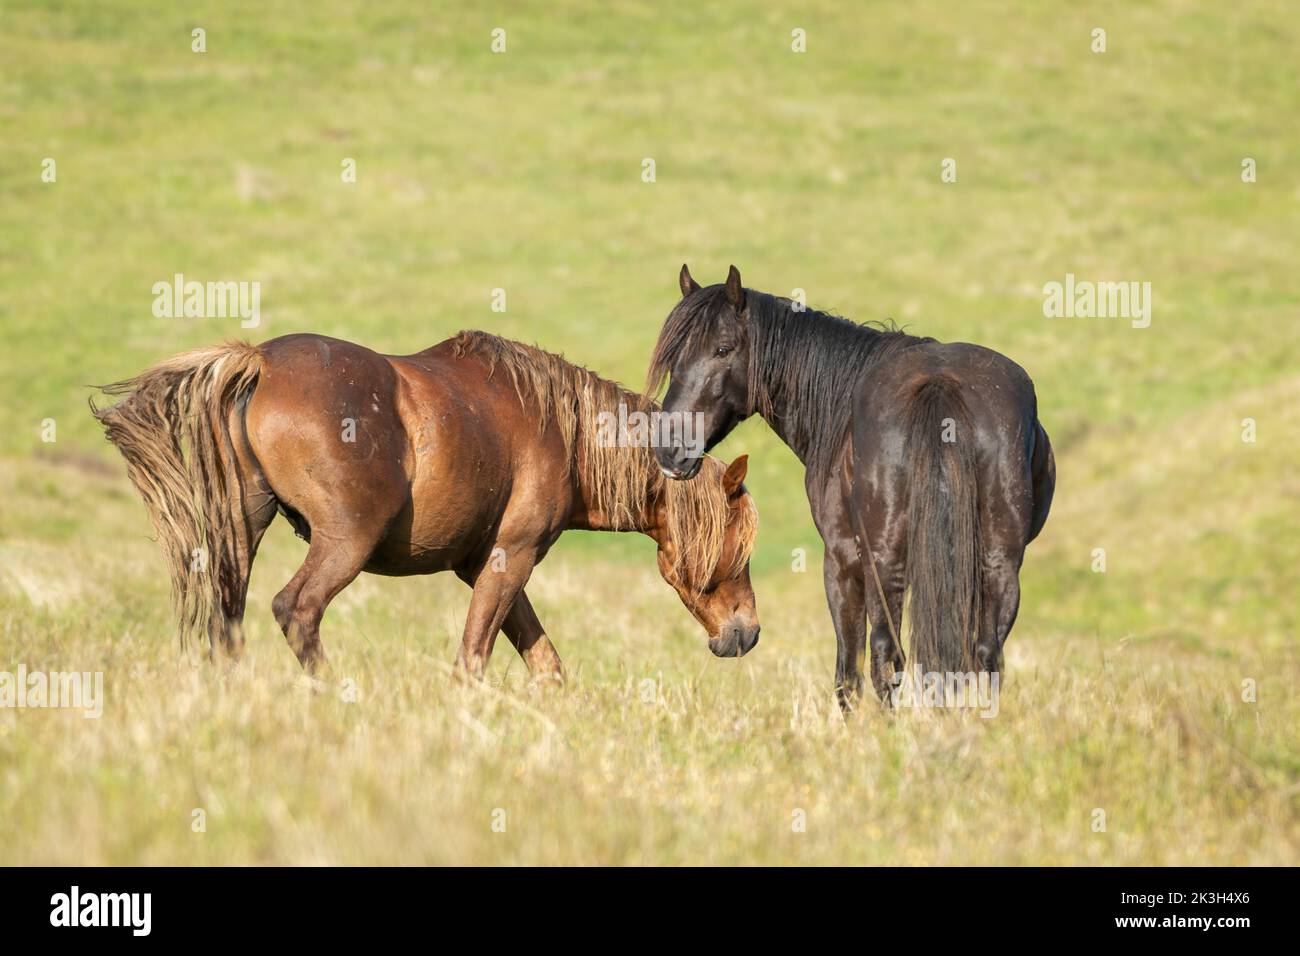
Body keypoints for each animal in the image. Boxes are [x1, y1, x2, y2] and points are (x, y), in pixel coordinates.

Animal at [91, 332, 759, 686]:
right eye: (741, 548)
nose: (747, 633)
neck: (560, 432)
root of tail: (261, 361)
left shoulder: (484, 565)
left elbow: (545, 663)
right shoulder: (511, 558)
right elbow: (473, 659)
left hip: (242, 530)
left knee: (227, 616)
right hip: (344, 543)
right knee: (296, 609)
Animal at [644, 265, 1050, 707]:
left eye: (722, 349)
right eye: (675, 355)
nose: (668, 449)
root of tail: (940, 387)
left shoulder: (841, 561)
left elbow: (848, 672)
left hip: (886, 564)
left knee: (886, 657)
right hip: (997, 563)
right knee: (984, 656)